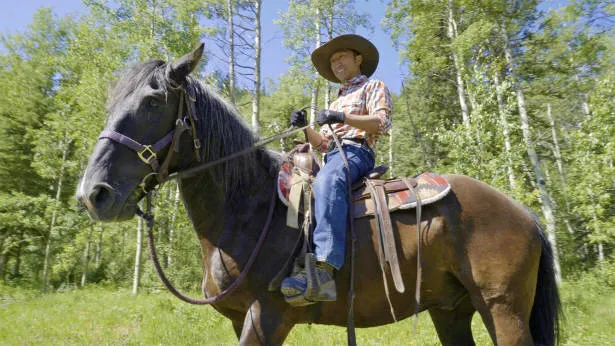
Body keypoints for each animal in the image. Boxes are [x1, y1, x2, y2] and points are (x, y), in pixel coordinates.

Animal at [77, 44, 564, 346]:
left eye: (153, 103)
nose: (93, 193)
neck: (246, 210)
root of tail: (525, 214)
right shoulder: (240, 318)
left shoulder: (267, 315)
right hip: (450, 309)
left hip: (503, 309)